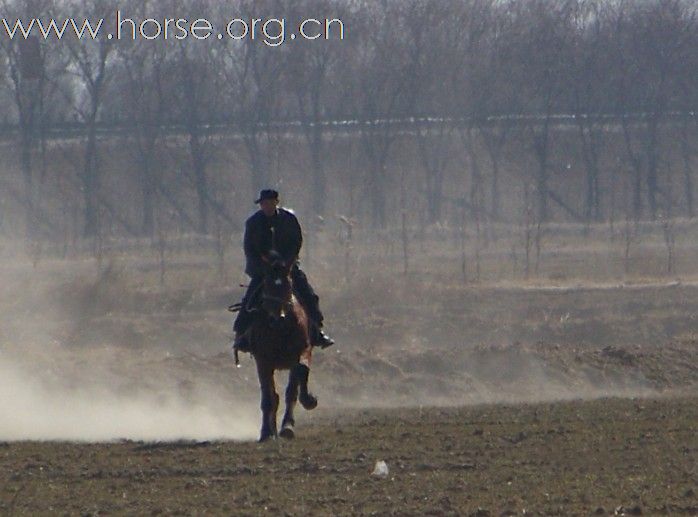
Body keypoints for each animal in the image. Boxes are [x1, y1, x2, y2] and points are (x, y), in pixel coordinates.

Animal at [243, 252, 316, 442]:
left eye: (288, 284)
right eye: (268, 284)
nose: (278, 318)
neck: (280, 330)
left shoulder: (303, 351)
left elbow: (294, 386)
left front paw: (289, 425)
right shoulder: (263, 362)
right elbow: (269, 398)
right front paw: (266, 432)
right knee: (270, 396)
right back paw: (268, 431)